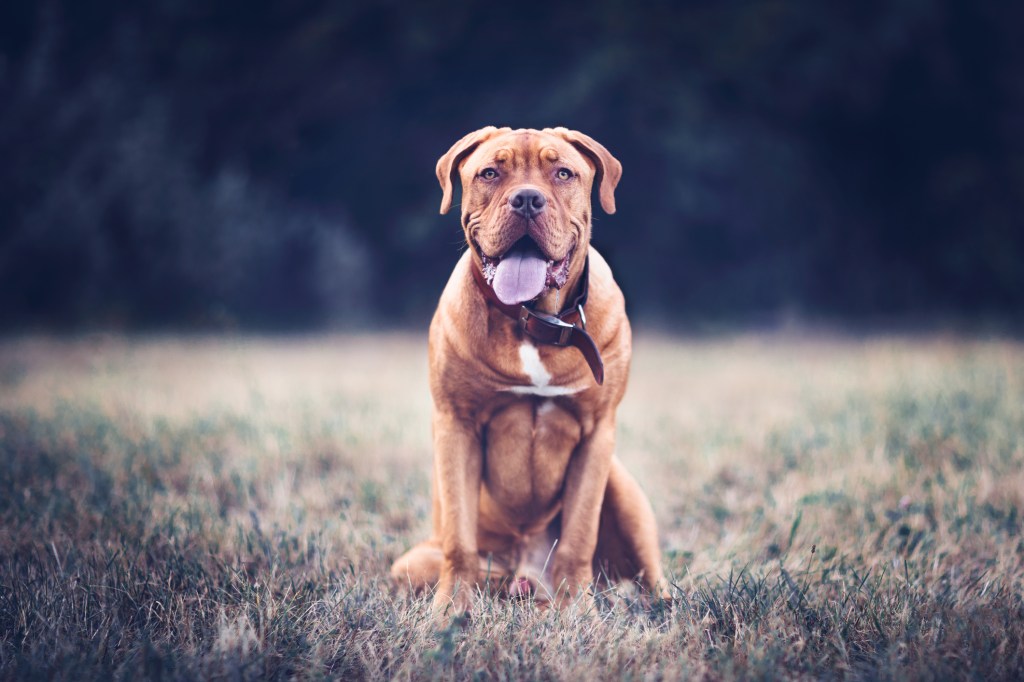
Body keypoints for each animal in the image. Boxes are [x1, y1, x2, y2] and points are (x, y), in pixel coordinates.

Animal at [389, 124, 663, 614]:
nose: (528, 199)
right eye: (490, 173)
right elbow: (459, 537)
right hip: (412, 564)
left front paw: (579, 613)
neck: (534, 319)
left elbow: (578, 536)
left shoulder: (597, 434)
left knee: (651, 576)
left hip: (623, 490)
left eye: (563, 173)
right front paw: (449, 613)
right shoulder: (457, 425)